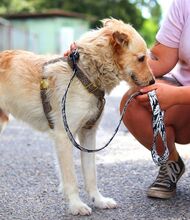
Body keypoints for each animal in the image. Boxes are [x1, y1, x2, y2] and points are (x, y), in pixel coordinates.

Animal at [0, 18, 154, 215]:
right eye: (141, 58)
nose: (153, 82)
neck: (85, 72)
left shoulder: (88, 134)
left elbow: (91, 174)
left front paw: (99, 200)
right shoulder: (64, 137)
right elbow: (71, 179)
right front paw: (76, 205)